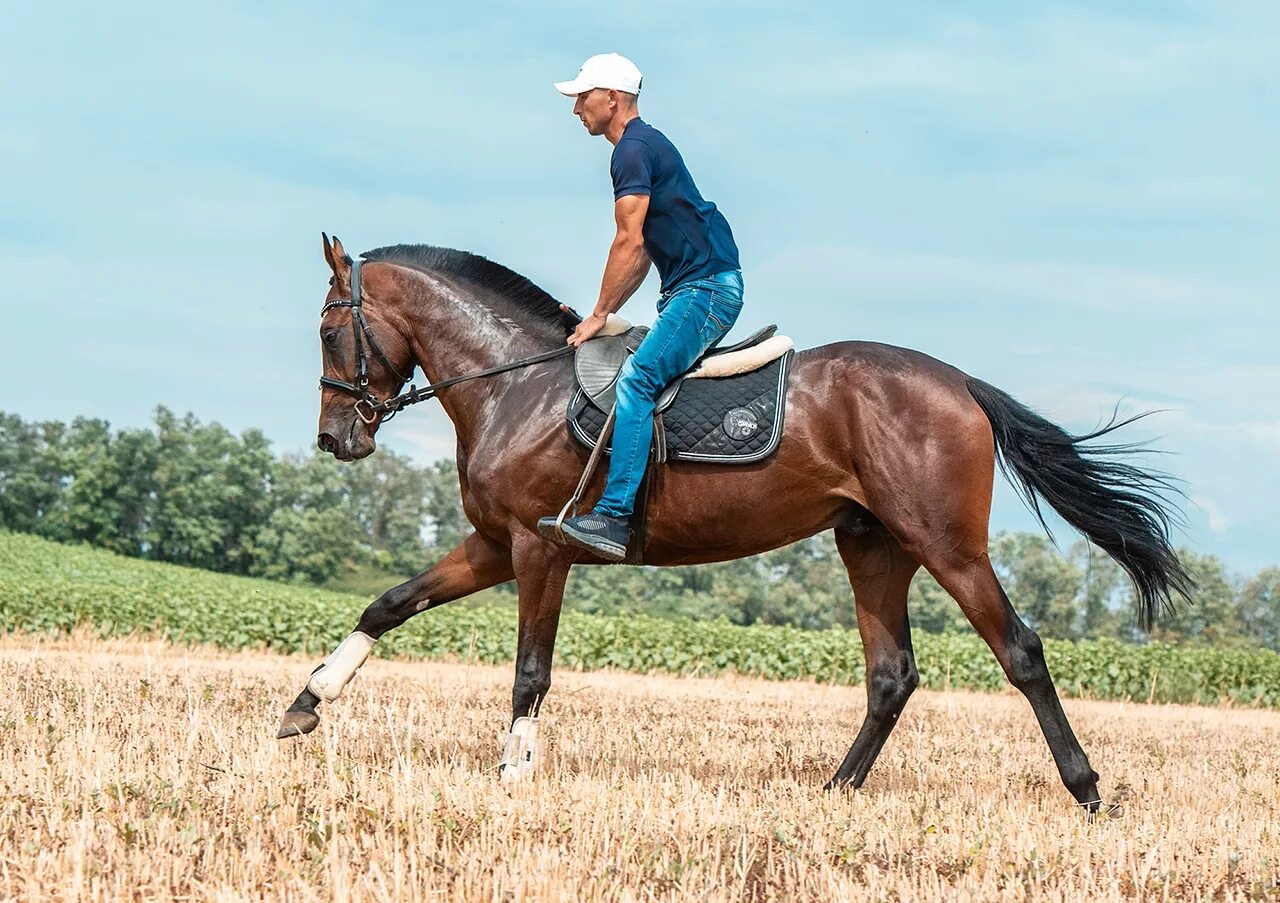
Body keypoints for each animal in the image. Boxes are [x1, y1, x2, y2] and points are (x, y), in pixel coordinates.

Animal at [280, 234, 1187, 809]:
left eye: (327, 330)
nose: (334, 439)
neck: (513, 383)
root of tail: (960, 381)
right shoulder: (494, 544)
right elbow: (389, 603)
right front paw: (305, 704)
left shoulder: (539, 549)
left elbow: (530, 672)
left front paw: (513, 774)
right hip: (873, 545)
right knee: (891, 674)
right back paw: (835, 790)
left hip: (946, 545)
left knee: (1021, 651)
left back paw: (1087, 789)